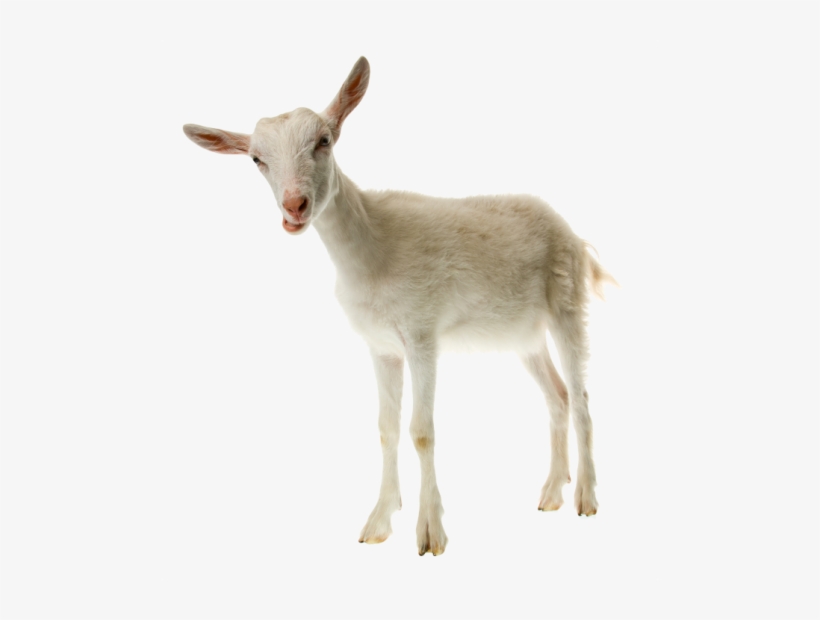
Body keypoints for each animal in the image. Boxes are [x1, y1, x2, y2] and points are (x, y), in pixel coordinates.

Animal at [183, 57, 613, 556]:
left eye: (324, 140)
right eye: (256, 159)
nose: (295, 207)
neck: (372, 251)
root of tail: (573, 234)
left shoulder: (423, 332)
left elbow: (421, 431)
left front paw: (430, 533)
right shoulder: (381, 346)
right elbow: (386, 428)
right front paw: (378, 522)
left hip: (567, 303)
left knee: (581, 396)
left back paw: (586, 498)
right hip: (523, 334)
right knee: (556, 396)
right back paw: (550, 494)